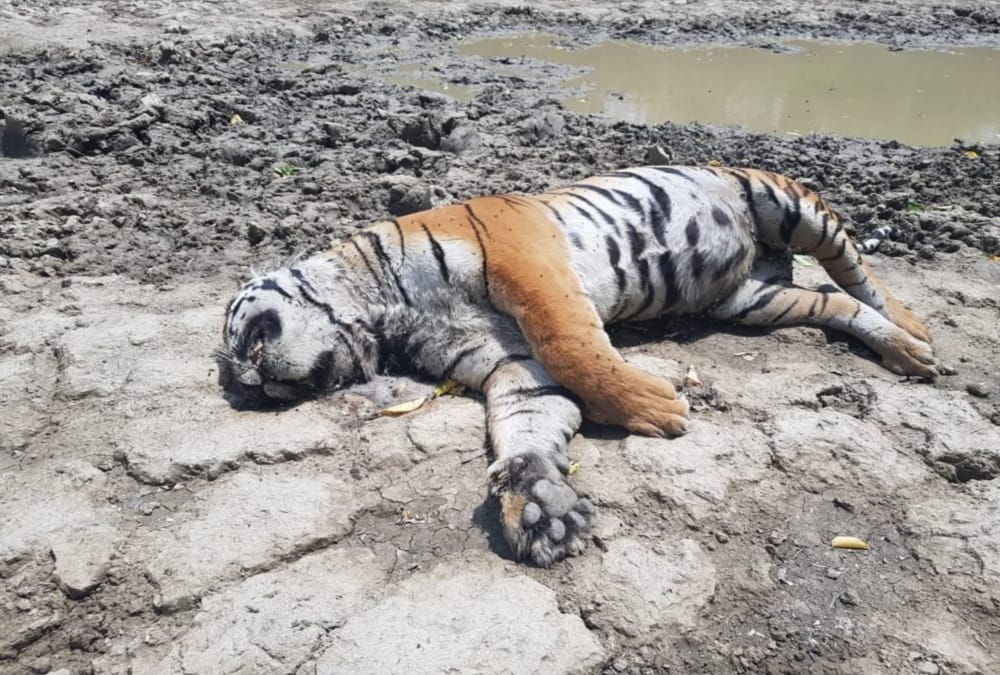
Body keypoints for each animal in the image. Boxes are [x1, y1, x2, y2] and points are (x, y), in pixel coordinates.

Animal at [219, 165, 935, 567]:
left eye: (248, 346)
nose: (255, 388)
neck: (388, 315)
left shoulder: (527, 260)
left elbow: (573, 346)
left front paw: (655, 408)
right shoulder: (510, 363)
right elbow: (530, 422)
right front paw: (542, 508)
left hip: (788, 204)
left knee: (855, 271)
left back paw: (918, 333)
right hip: (751, 300)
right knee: (835, 301)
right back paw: (903, 349)